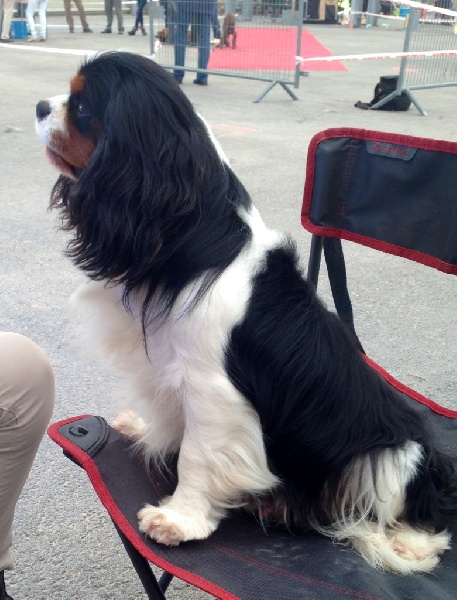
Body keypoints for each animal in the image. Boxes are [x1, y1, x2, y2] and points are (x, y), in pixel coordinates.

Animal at [35, 51, 456, 574]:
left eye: (82, 106)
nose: (39, 106)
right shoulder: (166, 369)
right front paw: (145, 429)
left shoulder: (214, 393)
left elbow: (197, 456)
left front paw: (179, 519)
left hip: (387, 458)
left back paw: (409, 544)